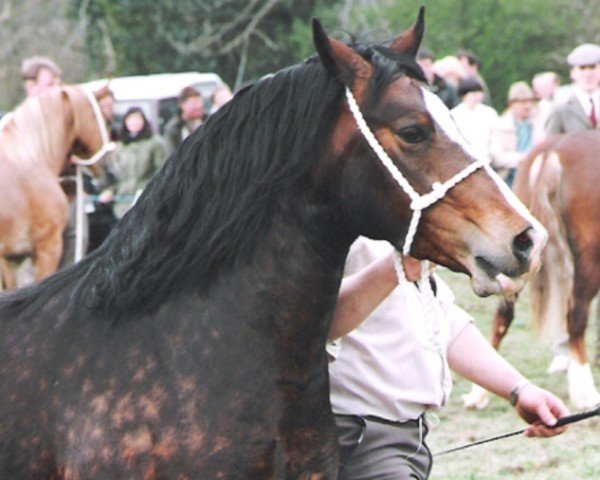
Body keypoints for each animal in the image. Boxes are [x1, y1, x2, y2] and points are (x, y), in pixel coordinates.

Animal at [464, 129, 600, 410]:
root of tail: (553, 150)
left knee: (503, 314)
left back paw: (478, 394)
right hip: (589, 259)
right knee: (575, 317)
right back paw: (585, 391)